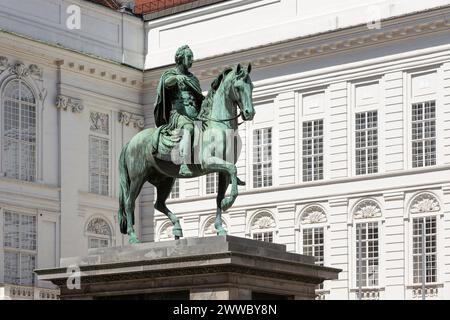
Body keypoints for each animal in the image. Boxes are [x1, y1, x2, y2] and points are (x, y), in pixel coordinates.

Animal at [118, 63, 255, 242]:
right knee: (129, 203)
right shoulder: (208, 162)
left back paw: (177, 227)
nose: (249, 113)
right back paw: (133, 237)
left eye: (251, 86)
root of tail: (130, 142)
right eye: (238, 88)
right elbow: (233, 170)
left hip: (165, 179)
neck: (218, 127)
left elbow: (219, 197)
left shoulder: (222, 170)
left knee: (158, 204)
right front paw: (228, 203)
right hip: (137, 177)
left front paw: (220, 227)